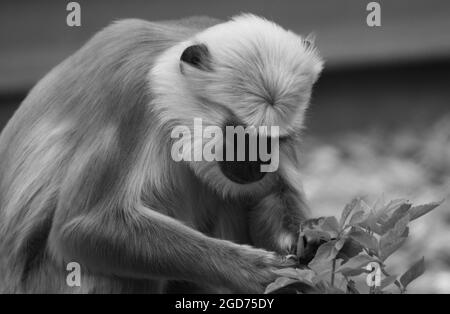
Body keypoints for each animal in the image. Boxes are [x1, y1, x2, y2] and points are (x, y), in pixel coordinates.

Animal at [0, 14, 324, 294]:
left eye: (272, 142)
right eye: (239, 137)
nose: (256, 166)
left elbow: (270, 192)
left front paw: (309, 239)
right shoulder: (131, 93)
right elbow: (81, 227)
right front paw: (247, 268)